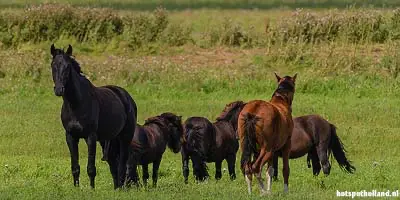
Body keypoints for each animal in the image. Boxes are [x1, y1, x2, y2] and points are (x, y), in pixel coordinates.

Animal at [49, 44, 138, 189]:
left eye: (67, 67)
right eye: (53, 65)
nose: (59, 90)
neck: (76, 104)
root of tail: (126, 97)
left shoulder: (91, 137)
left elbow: (91, 168)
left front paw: (91, 189)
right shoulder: (71, 136)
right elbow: (75, 167)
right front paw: (76, 188)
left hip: (125, 137)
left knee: (122, 164)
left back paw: (121, 188)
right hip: (108, 140)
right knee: (113, 163)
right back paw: (116, 187)